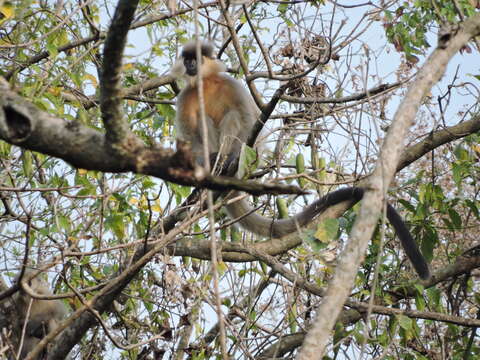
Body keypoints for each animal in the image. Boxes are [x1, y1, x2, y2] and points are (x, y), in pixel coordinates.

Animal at [171, 40, 430, 280]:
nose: (190, 65)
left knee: (234, 116)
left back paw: (226, 163)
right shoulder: (186, 97)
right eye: (187, 60)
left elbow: (247, 119)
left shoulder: (231, 85)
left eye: (195, 59)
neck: (205, 84)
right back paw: (214, 163)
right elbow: (189, 138)